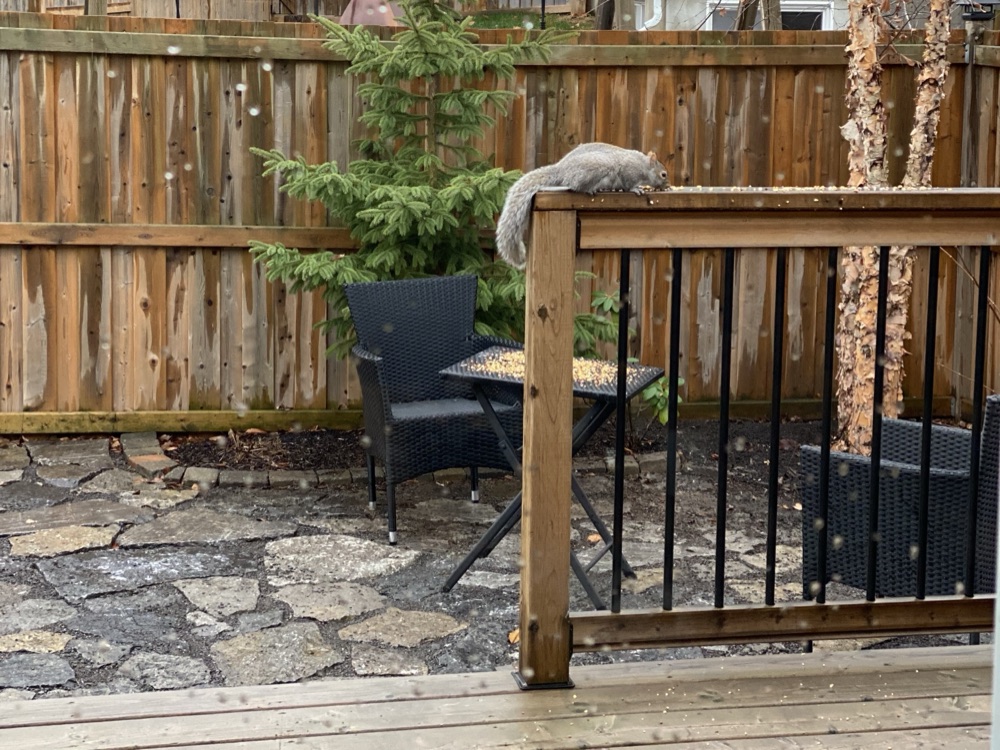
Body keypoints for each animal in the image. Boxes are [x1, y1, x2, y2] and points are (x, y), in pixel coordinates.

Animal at [495, 143, 670, 269]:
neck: (643, 166)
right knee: (575, 186)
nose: (667, 186)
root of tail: (561, 170)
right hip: (596, 169)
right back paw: (591, 189)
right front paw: (636, 189)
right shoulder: (628, 171)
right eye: (663, 174)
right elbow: (628, 184)